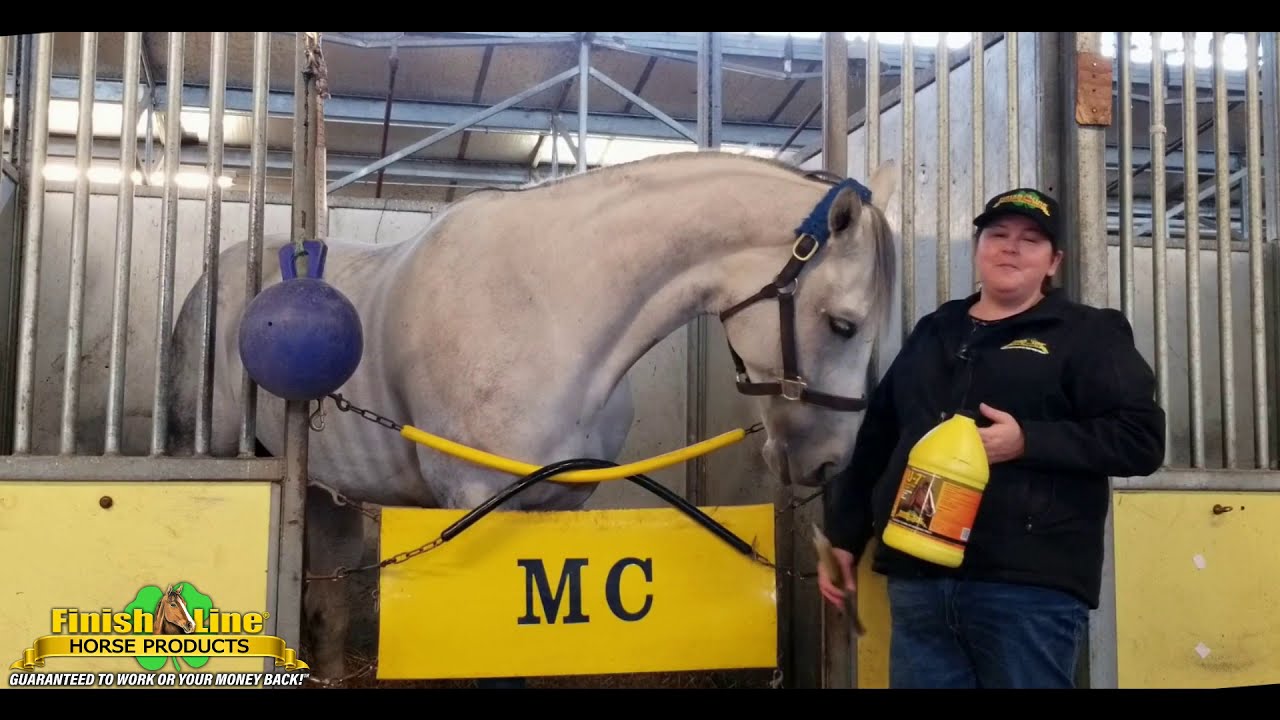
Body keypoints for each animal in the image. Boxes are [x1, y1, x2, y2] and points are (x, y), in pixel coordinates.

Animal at [163, 150, 899, 681]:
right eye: (843, 324)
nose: (830, 461)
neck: (550, 312)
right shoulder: (475, 501)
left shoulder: (560, 504)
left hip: (323, 490)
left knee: (327, 597)